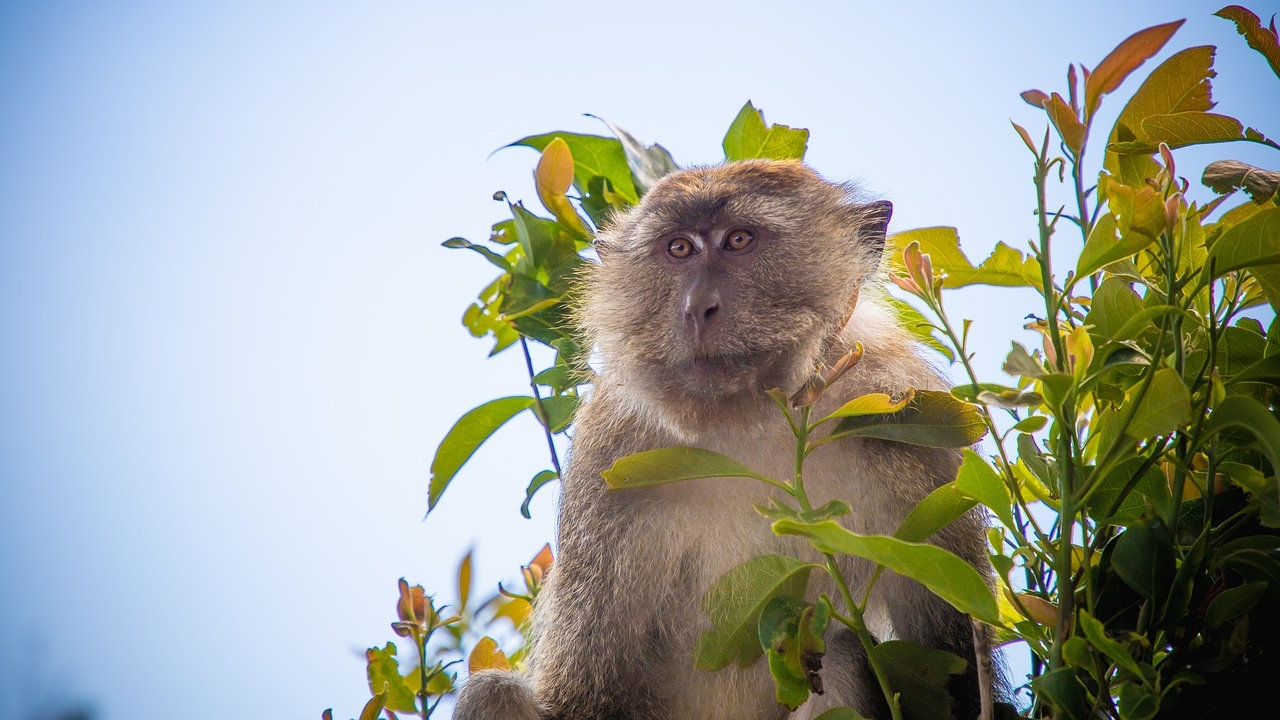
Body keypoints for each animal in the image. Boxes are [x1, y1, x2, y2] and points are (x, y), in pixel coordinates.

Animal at [453, 159, 996, 720]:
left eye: (738, 240)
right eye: (679, 249)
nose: (697, 308)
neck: (752, 424)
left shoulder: (911, 422)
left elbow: (950, 667)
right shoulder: (608, 457)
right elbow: (583, 695)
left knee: (840, 654)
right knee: (492, 693)